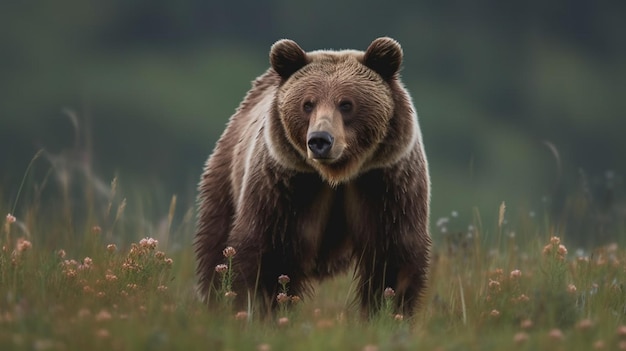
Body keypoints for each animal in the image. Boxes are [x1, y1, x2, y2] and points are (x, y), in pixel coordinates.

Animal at [195, 36, 428, 320]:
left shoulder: (383, 184)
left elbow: (392, 258)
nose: (320, 140)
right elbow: (270, 255)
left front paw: (388, 313)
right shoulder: (287, 187)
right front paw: (263, 310)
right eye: (307, 104)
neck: (336, 175)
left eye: (346, 103)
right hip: (226, 179)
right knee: (215, 245)